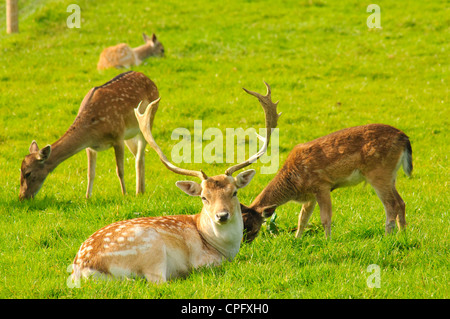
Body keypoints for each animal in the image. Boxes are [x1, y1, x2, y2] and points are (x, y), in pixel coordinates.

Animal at [19, 71, 160, 201]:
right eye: (19, 170)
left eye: (28, 173)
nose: (22, 197)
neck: (93, 130)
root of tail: (149, 79)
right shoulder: (90, 146)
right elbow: (90, 173)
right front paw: (87, 197)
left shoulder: (118, 136)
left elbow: (119, 170)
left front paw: (124, 194)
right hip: (130, 135)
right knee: (139, 155)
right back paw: (141, 191)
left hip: (148, 119)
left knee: (139, 156)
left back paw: (138, 192)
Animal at [69, 81, 282, 284]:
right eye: (204, 197)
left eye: (234, 192)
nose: (222, 215)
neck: (223, 248)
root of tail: (84, 268)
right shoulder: (205, 261)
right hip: (152, 250)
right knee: (158, 282)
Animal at [241, 124, 414, 244]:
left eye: (251, 227)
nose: (243, 244)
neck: (294, 181)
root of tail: (404, 138)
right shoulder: (310, 195)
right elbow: (302, 218)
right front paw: (297, 239)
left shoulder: (322, 186)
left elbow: (325, 218)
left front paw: (328, 241)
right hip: (391, 176)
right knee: (401, 202)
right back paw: (403, 234)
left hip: (379, 173)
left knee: (391, 204)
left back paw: (387, 237)